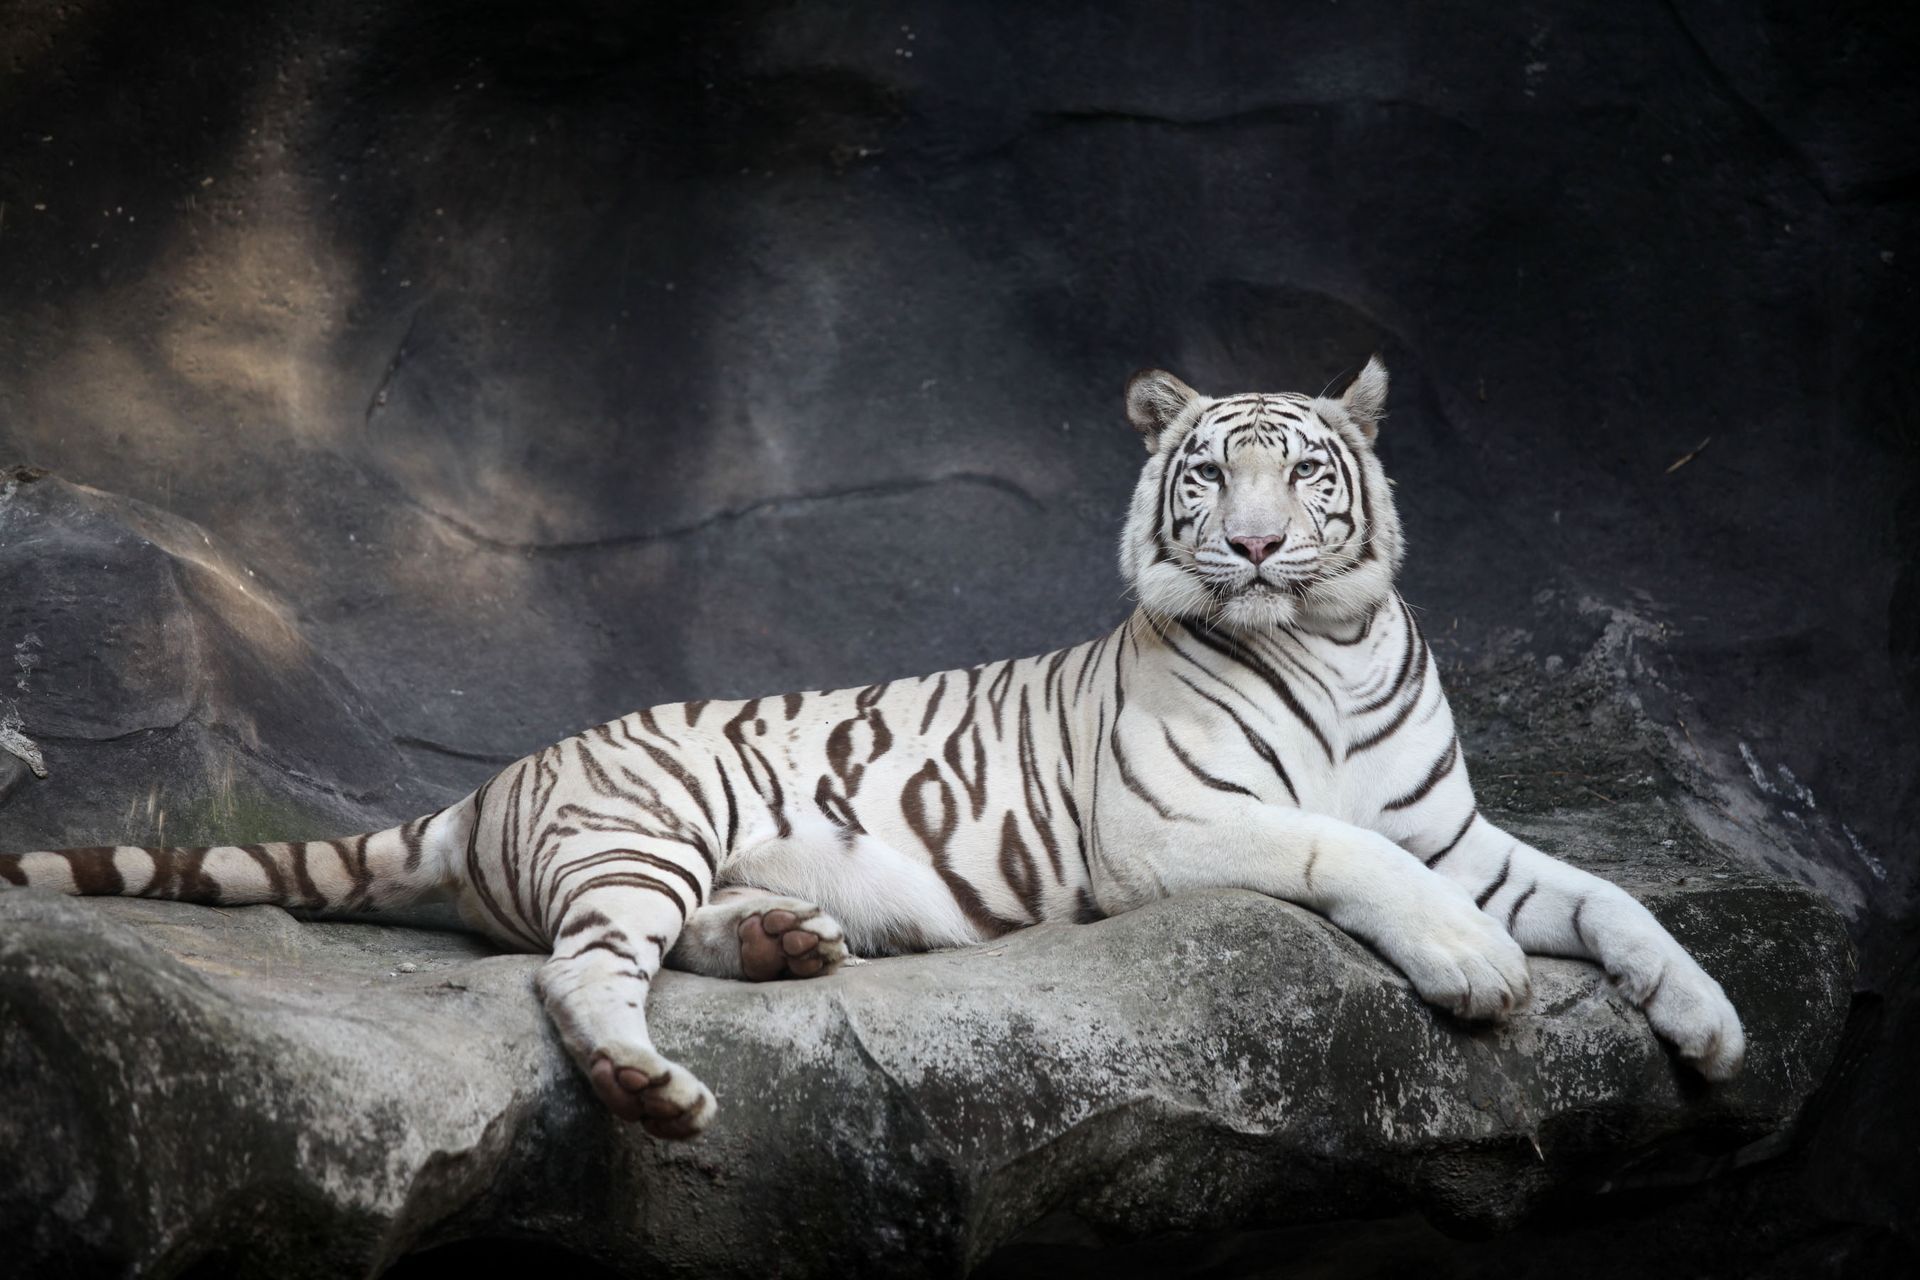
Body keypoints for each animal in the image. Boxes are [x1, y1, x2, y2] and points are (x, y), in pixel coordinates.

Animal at [0, 357, 1745, 1140]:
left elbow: (1606, 898)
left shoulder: (1456, 827)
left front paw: (1714, 1027)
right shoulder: (1175, 828)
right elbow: (1350, 852)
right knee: (575, 977)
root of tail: (488, 786)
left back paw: (786, 944)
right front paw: (1478, 972)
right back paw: (652, 1084)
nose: (1252, 548)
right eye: (1208, 476)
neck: (1326, 637)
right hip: (642, 828)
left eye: (1305, 476)